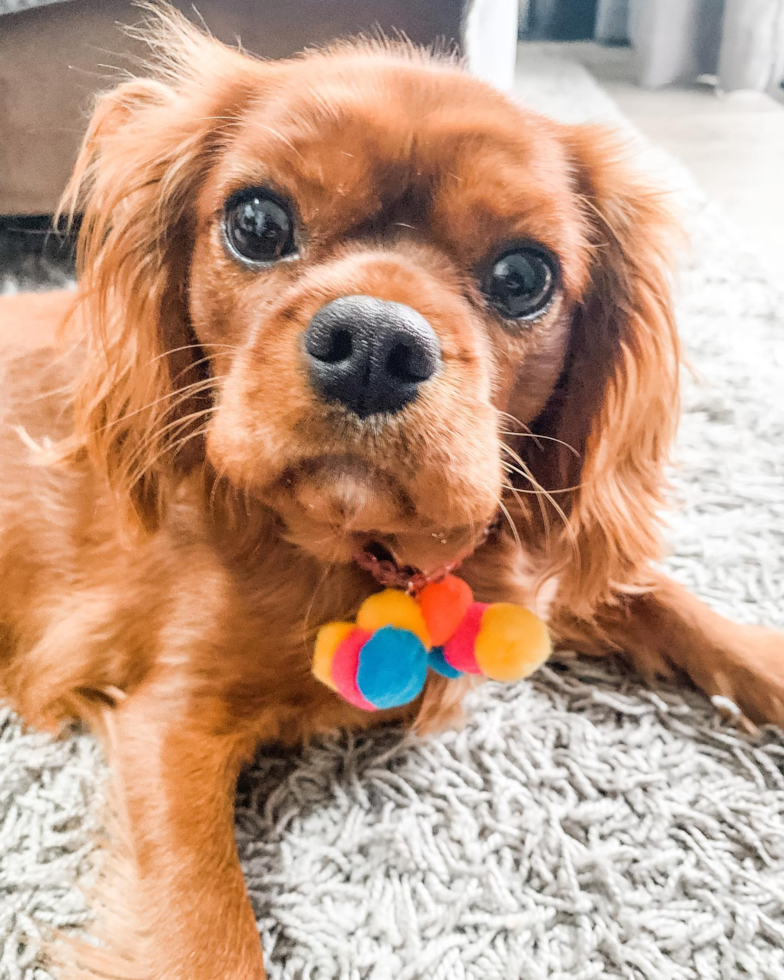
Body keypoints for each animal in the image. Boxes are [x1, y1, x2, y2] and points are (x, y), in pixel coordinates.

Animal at [0, 7, 780, 980]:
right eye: (257, 221)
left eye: (524, 276)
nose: (373, 343)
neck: (368, 553)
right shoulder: (166, 724)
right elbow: (211, 937)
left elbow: (676, 605)